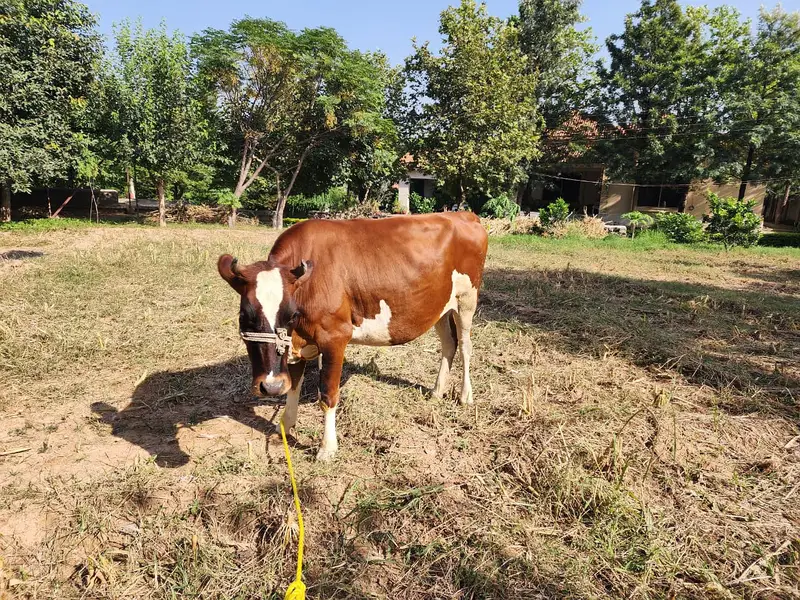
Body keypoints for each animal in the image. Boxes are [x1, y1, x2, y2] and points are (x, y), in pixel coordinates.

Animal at [217, 212, 488, 460]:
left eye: (292, 314)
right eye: (244, 316)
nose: (271, 386)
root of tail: (463, 214)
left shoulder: (335, 337)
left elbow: (328, 394)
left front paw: (327, 449)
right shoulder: (297, 343)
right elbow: (294, 384)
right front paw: (285, 424)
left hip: (467, 299)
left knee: (465, 346)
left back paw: (465, 395)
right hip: (440, 305)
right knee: (449, 344)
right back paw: (437, 391)